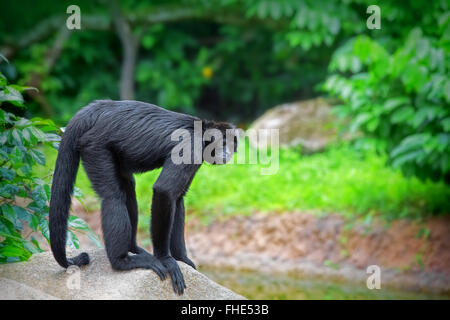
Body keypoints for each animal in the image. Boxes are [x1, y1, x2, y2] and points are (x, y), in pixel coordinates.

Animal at [48, 100, 239, 296]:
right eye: (222, 144)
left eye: (230, 145)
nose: (226, 152)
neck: (202, 132)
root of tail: (98, 108)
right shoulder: (191, 148)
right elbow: (164, 191)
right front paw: (167, 260)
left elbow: (178, 197)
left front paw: (182, 258)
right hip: (94, 146)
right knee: (113, 197)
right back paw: (121, 261)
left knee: (128, 188)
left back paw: (133, 248)